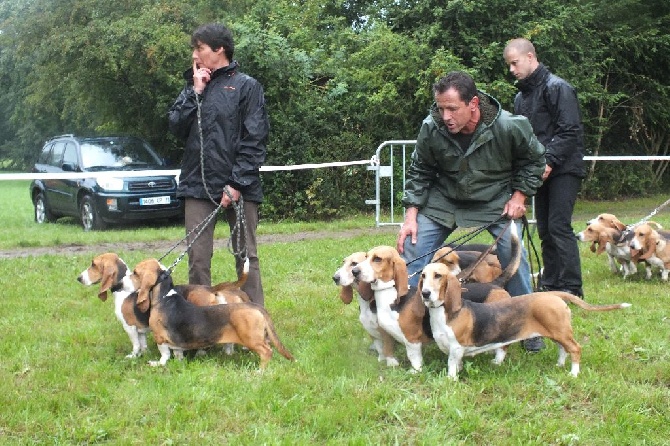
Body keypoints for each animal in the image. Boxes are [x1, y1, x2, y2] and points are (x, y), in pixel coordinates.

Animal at [79, 253, 252, 358]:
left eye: (93, 264)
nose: (78, 278)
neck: (123, 289)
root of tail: (210, 289)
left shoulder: (130, 327)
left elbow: (135, 345)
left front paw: (133, 357)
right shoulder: (141, 330)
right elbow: (142, 344)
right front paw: (145, 354)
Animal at [126, 258, 294, 370]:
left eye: (135, 272)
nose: (123, 281)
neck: (164, 296)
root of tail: (254, 306)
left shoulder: (160, 337)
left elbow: (164, 355)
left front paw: (157, 364)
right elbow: (178, 353)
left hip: (251, 339)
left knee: (267, 352)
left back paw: (260, 371)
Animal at [422, 262, 632, 380]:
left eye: (438, 276)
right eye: (423, 276)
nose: (425, 293)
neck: (442, 312)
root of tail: (553, 294)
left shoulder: (456, 348)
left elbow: (451, 365)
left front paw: (450, 380)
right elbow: (457, 363)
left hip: (562, 332)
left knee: (575, 349)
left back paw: (574, 373)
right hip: (557, 333)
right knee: (563, 349)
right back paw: (559, 365)